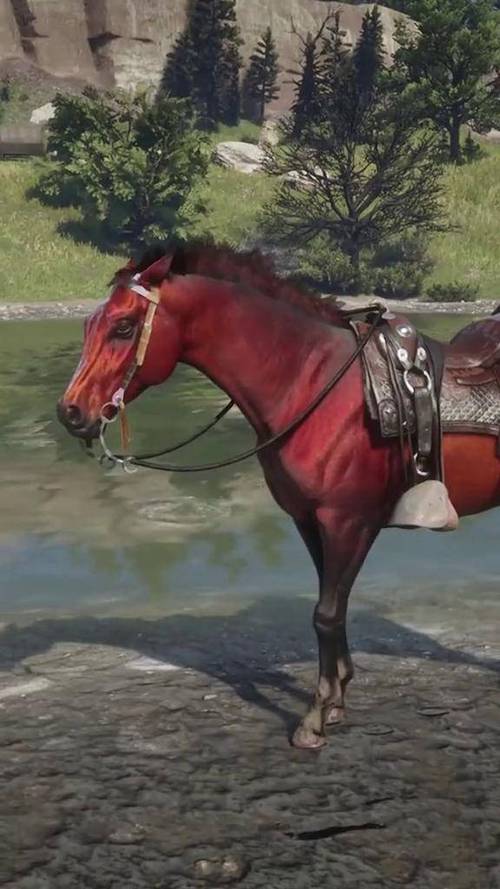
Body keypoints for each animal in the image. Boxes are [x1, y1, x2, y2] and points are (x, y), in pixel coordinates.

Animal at [57, 243, 500, 749]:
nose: (71, 412)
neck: (313, 385)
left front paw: (315, 718)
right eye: (90, 325)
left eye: (124, 327)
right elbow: (333, 607)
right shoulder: (309, 520)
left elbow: (326, 613)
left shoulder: (348, 521)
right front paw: (336, 700)